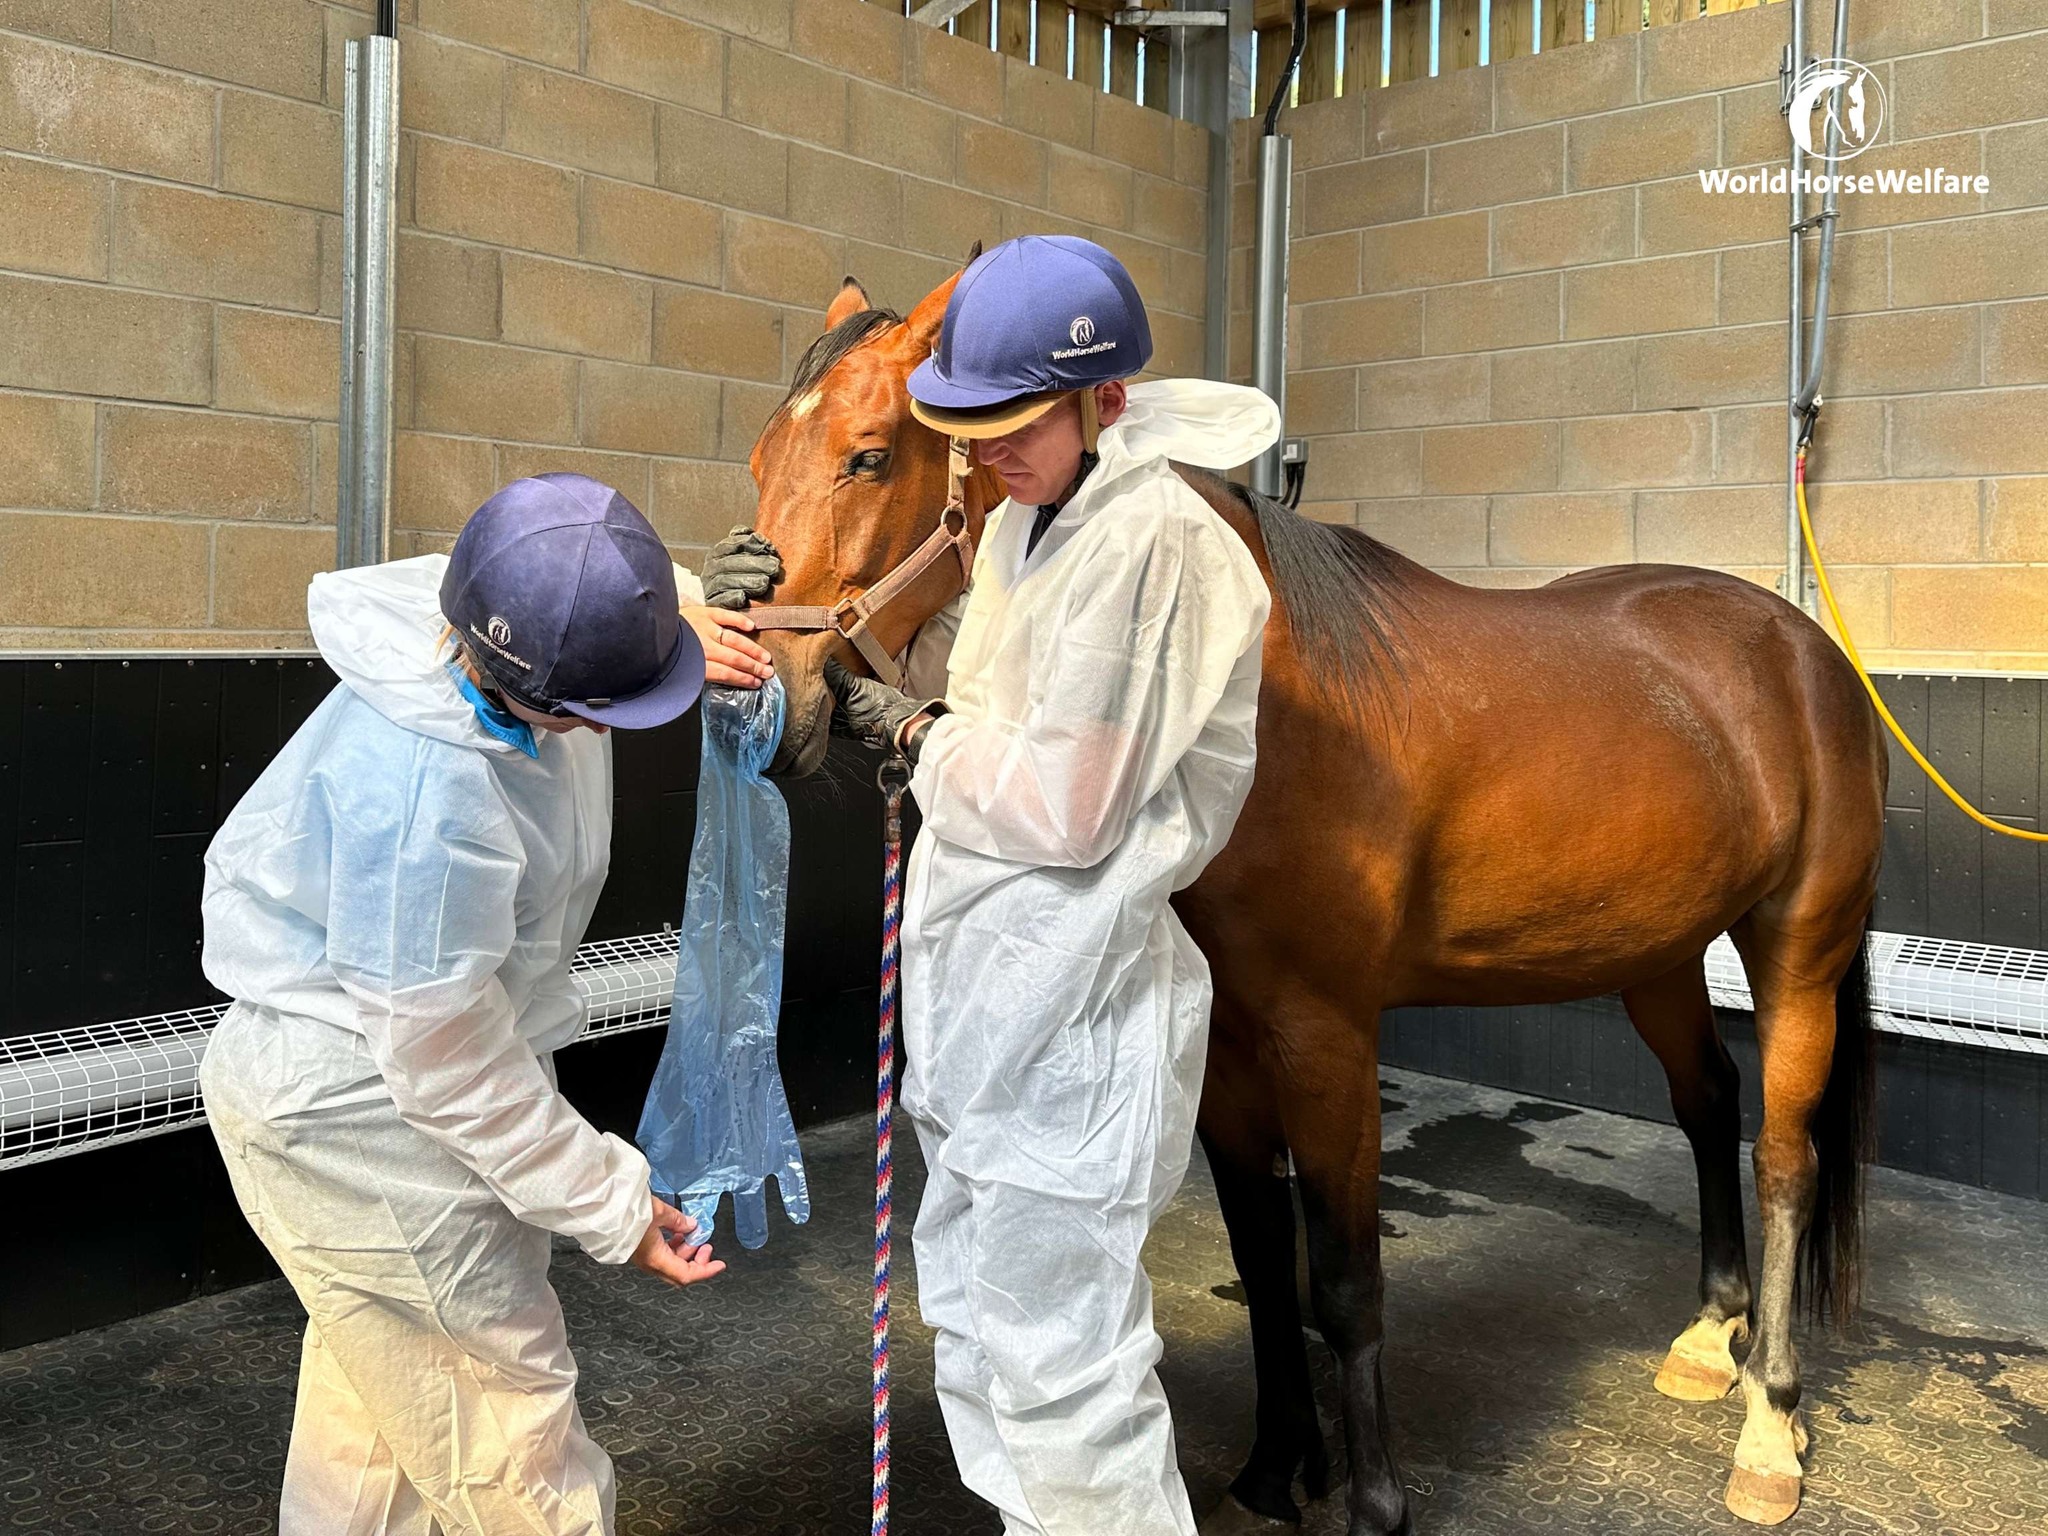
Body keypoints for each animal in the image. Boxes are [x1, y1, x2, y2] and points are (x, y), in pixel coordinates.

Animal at [742, 267, 1887, 1535]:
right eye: (759, 459)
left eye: (867, 456)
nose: (767, 696)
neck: (1257, 699)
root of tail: (1802, 649)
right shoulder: (1232, 1045)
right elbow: (1259, 1257)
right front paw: (1275, 1466)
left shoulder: (1327, 1033)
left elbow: (1340, 1279)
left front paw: (1373, 1500)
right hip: (1656, 954)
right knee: (1704, 1103)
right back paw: (1705, 1336)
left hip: (1796, 951)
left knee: (1782, 1156)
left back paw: (1769, 1420)